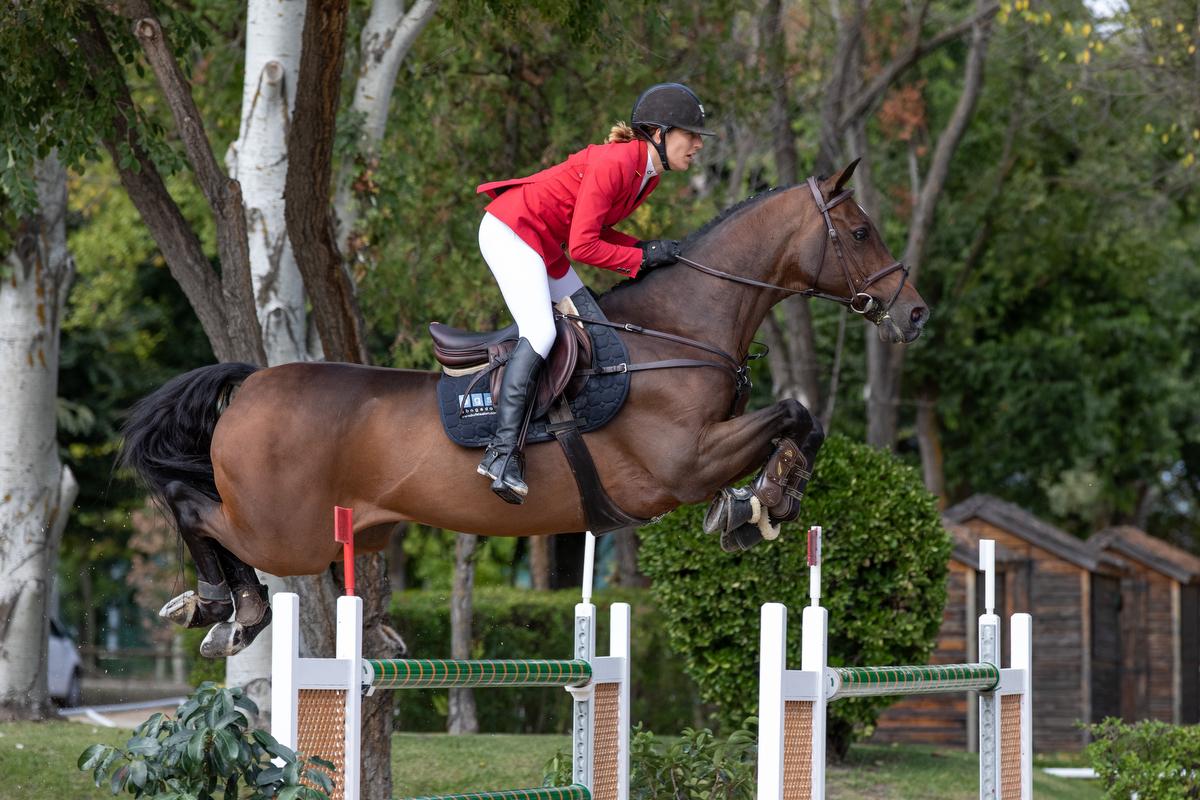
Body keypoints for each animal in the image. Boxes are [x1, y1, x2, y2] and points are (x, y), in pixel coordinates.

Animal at [121, 160, 926, 657]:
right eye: (861, 232)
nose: (914, 314)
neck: (676, 332)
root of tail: (252, 384)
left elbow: (802, 422)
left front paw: (763, 502)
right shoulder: (682, 465)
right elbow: (791, 414)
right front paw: (759, 504)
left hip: (326, 532)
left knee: (200, 509)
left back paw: (228, 611)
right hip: (288, 531)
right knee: (193, 507)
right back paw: (223, 606)